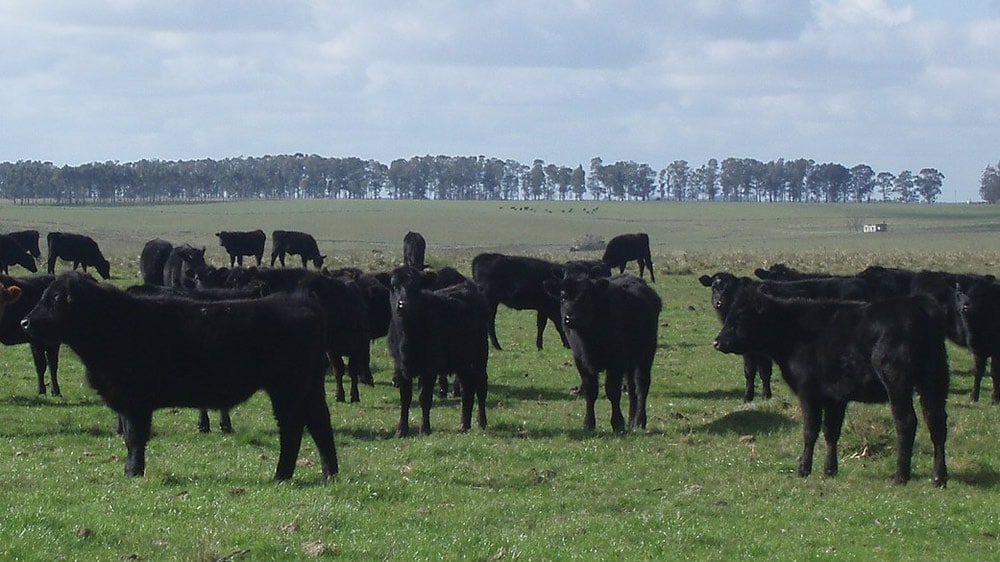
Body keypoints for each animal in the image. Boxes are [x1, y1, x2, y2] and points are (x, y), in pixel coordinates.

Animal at [19, 270, 338, 480]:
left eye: (55, 298)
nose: (25, 322)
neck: (115, 322)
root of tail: (302, 303)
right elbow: (129, 437)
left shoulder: (134, 401)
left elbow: (134, 437)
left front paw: (133, 472)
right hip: (310, 387)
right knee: (320, 423)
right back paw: (328, 473)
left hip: (288, 388)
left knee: (293, 426)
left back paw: (282, 475)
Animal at [386, 266, 488, 438]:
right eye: (394, 286)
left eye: (416, 286)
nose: (403, 304)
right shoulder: (400, 368)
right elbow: (405, 399)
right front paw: (401, 430)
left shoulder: (429, 369)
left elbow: (424, 398)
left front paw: (425, 429)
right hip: (463, 363)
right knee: (467, 390)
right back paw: (463, 425)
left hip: (479, 358)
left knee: (481, 388)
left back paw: (482, 423)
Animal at [544, 274, 660, 430]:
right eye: (562, 298)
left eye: (586, 297)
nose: (569, 318)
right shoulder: (581, 361)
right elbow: (591, 391)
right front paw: (588, 424)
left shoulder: (616, 362)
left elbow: (612, 392)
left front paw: (618, 423)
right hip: (630, 363)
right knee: (631, 388)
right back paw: (631, 420)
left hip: (646, 355)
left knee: (642, 385)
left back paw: (640, 420)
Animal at [712, 286, 944, 484]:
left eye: (741, 317)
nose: (717, 342)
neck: (795, 332)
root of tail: (917, 304)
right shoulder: (835, 397)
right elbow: (831, 431)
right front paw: (830, 470)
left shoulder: (808, 393)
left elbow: (810, 431)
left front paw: (803, 469)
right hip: (933, 381)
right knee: (936, 423)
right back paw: (938, 478)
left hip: (897, 383)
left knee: (906, 422)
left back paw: (901, 476)